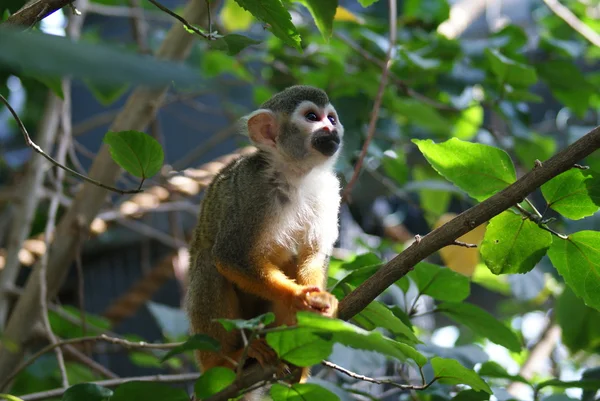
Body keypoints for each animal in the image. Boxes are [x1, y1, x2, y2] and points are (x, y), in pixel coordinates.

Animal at [189, 85, 342, 382]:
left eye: (331, 118)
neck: (295, 175)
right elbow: (229, 256)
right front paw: (297, 296)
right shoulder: (252, 188)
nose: (331, 130)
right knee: (208, 261)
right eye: (311, 117)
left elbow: (313, 254)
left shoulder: (329, 191)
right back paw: (224, 360)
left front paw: (321, 303)